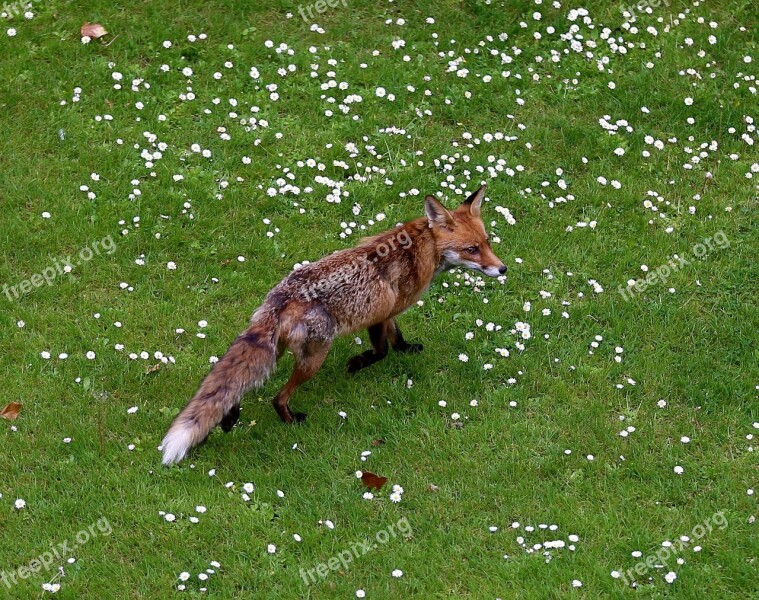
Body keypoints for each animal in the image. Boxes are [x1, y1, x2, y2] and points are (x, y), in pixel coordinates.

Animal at [162, 185, 504, 466]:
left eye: (487, 242)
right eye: (471, 249)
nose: (502, 269)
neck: (421, 247)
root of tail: (280, 299)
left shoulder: (388, 311)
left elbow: (397, 339)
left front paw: (406, 349)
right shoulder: (379, 316)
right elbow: (381, 350)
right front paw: (357, 363)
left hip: (278, 350)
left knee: (238, 386)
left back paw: (229, 418)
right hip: (313, 358)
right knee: (277, 397)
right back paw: (290, 420)